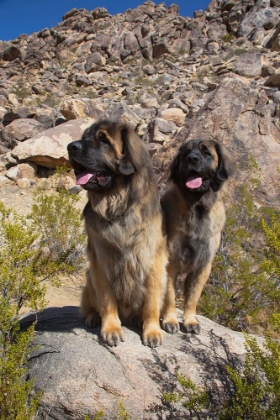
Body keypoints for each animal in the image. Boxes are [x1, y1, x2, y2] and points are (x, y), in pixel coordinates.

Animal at [66, 119, 167, 348]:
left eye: (104, 140)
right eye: (85, 137)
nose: (70, 147)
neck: (118, 206)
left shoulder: (152, 261)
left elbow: (151, 303)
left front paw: (152, 330)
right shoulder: (101, 261)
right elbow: (107, 300)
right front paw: (111, 328)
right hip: (89, 282)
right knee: (91, 305)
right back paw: (94, 317)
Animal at [160, 140, 234, 334]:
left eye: (206, 152)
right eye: (186, 153)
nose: (192, 159)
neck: (197, 207)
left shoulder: (202, 266)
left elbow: (193, 297)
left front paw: (190, 321)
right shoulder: (171, 262)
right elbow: (170, 295)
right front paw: (170, 320)